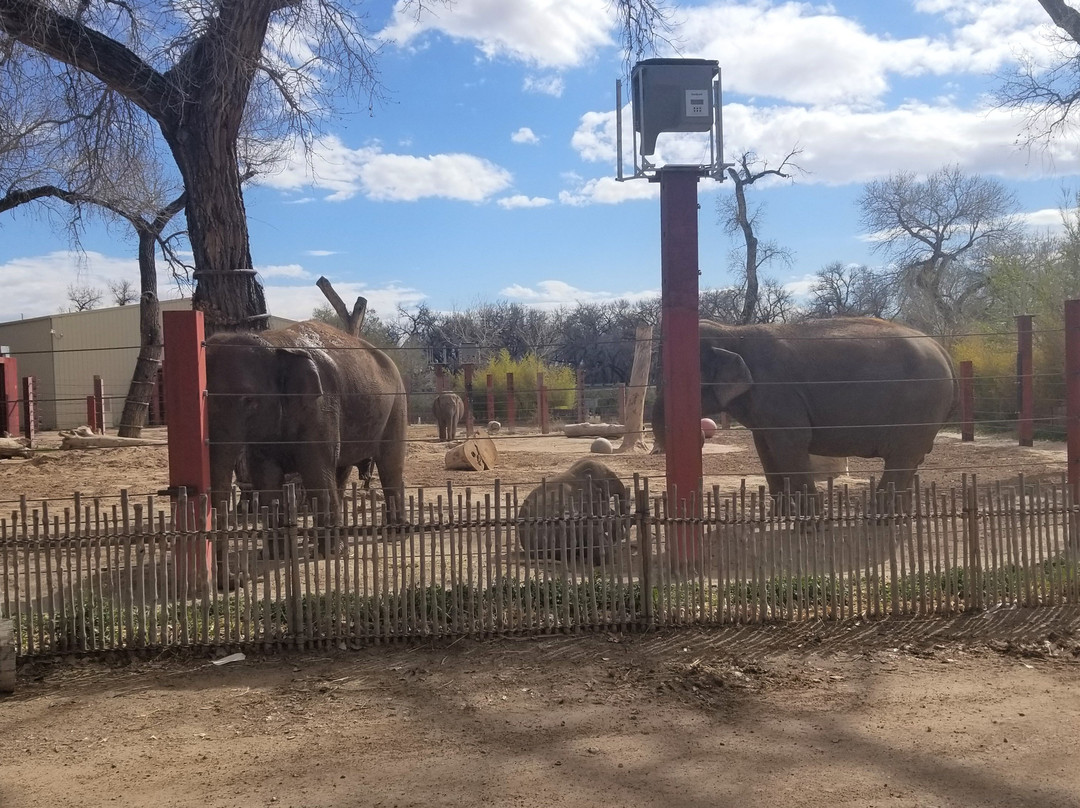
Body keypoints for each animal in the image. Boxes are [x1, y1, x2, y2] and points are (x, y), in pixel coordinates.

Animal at [205, 321, 406, 557]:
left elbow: (316, 469)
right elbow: (266, 475)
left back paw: (395, 533)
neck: (272, 342)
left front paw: (331, 553)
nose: (221, 563)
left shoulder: (321, 407)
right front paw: (274, 554)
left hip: (396, 405)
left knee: (390, 465)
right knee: (341, 470)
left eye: (249, 400)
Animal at [648, 317, 954, 499]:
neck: (732, 332)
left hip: (919, 407)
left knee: (902, 459)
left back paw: (878, 521)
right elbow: (765, 446)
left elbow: (791, 443)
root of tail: (942, 348)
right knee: (912, 460)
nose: (702, 433)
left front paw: (809, 526)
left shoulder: (778, 391)